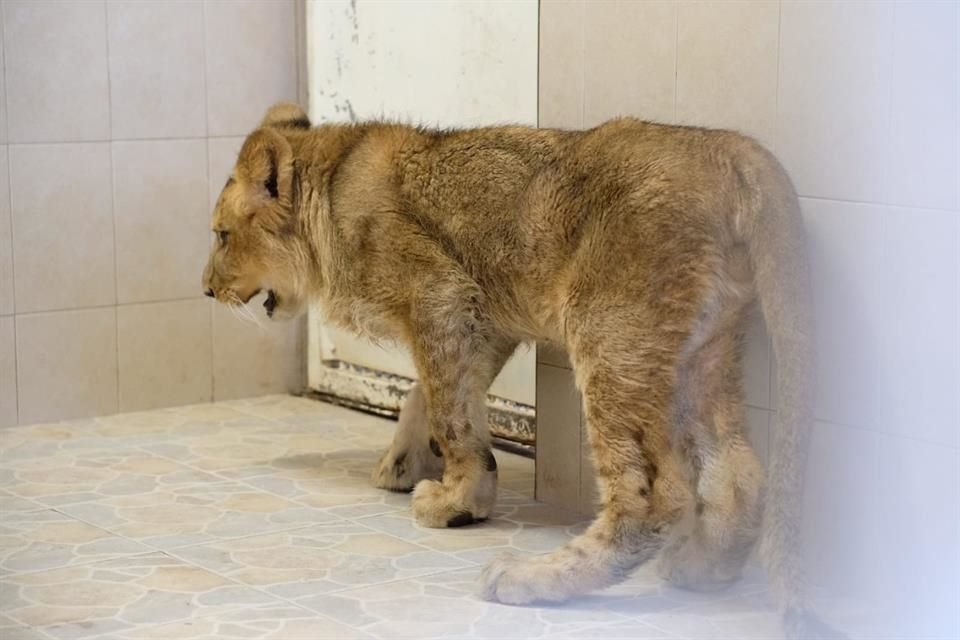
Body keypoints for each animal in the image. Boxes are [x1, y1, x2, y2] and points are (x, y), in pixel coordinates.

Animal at [201, 102, 840, 636]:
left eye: (222, 235)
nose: (206, 290)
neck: (330, 193)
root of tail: (731, 151)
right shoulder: (485, 319)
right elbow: (430, 395)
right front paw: (404, 463)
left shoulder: (439, 295)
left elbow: (450, 411)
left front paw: (457, 502)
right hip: (702, 348)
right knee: (737, 472)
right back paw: (702, 570)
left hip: (610, 331)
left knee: (655, 495)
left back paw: (529, 579)